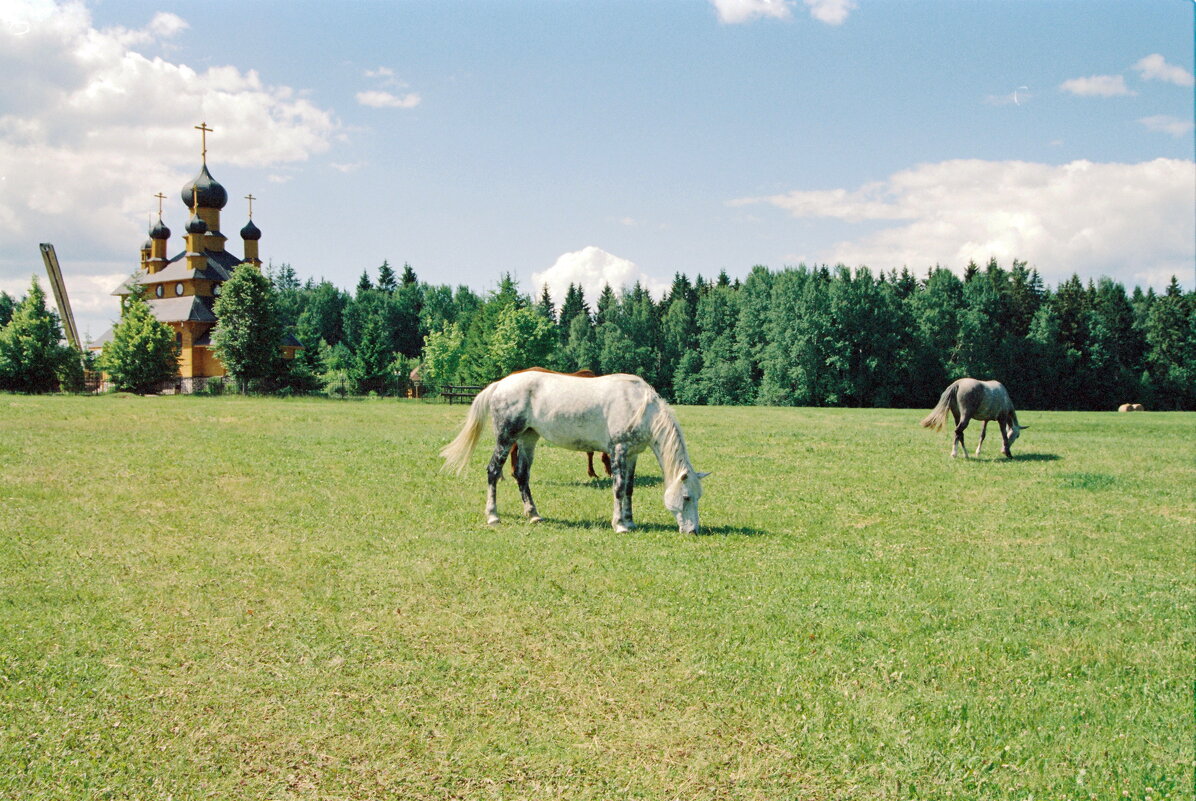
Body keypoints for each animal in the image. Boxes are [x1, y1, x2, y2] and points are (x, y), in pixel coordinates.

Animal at [440, 373, 703, 535]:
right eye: (686, 497)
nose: (693, 531)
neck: (639, 406)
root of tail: (500, 384)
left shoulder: (632, 455)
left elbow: (629, 489)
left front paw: (630, 521)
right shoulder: (618, 451)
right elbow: (618, 489)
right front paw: (619, 525)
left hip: (528, 439)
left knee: (522, 476)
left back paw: (533, 515)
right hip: (506, 438)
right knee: (493, 471)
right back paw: (493, 516)